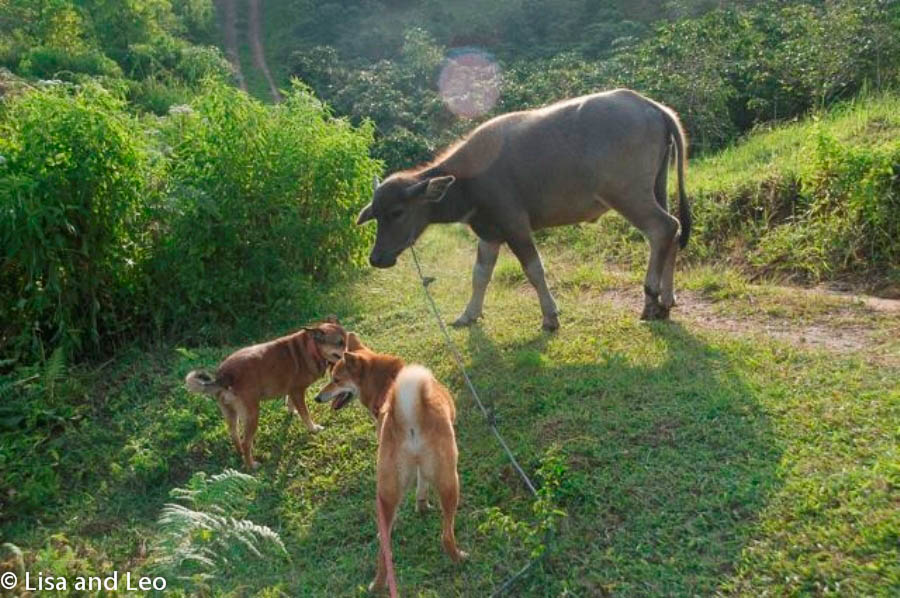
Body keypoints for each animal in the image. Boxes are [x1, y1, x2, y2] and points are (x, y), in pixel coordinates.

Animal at [185, 318, 349, 469]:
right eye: (339, 343)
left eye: (346, 341)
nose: (351, 355)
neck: (312, 348)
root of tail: (224, 375)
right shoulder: (298, 391)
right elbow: (305, 415)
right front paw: (313, 428)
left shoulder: (292, 391)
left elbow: (291, 404)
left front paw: (292, 412)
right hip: (252, 415)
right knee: (246, 442)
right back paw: (251, 465)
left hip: (231, 414)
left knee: (234, 435)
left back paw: (240, 454)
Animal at [315, 333, 467, 591]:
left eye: (336, 379)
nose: (317, 397)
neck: (385, 382)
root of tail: (409, 418)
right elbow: (423, 482)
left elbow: (420, 485)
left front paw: (421, 505)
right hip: (450, 481)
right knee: (446, 535)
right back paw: (460, 558)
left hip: (386, 493)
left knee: (384, 548)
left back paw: (377, 585)